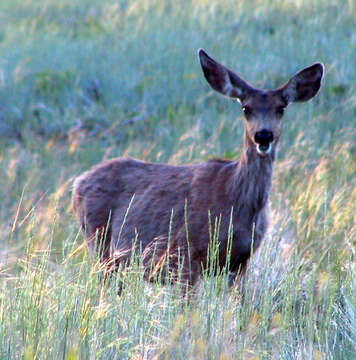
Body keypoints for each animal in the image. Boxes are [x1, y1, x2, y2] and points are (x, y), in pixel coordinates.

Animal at [71, 49, 322, 288]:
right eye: (246, 108)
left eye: (281, 108)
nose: (263, 135)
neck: (237, 199)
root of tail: (78, 182)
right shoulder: (185, 254)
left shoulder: (240, 261)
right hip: (101, 245)